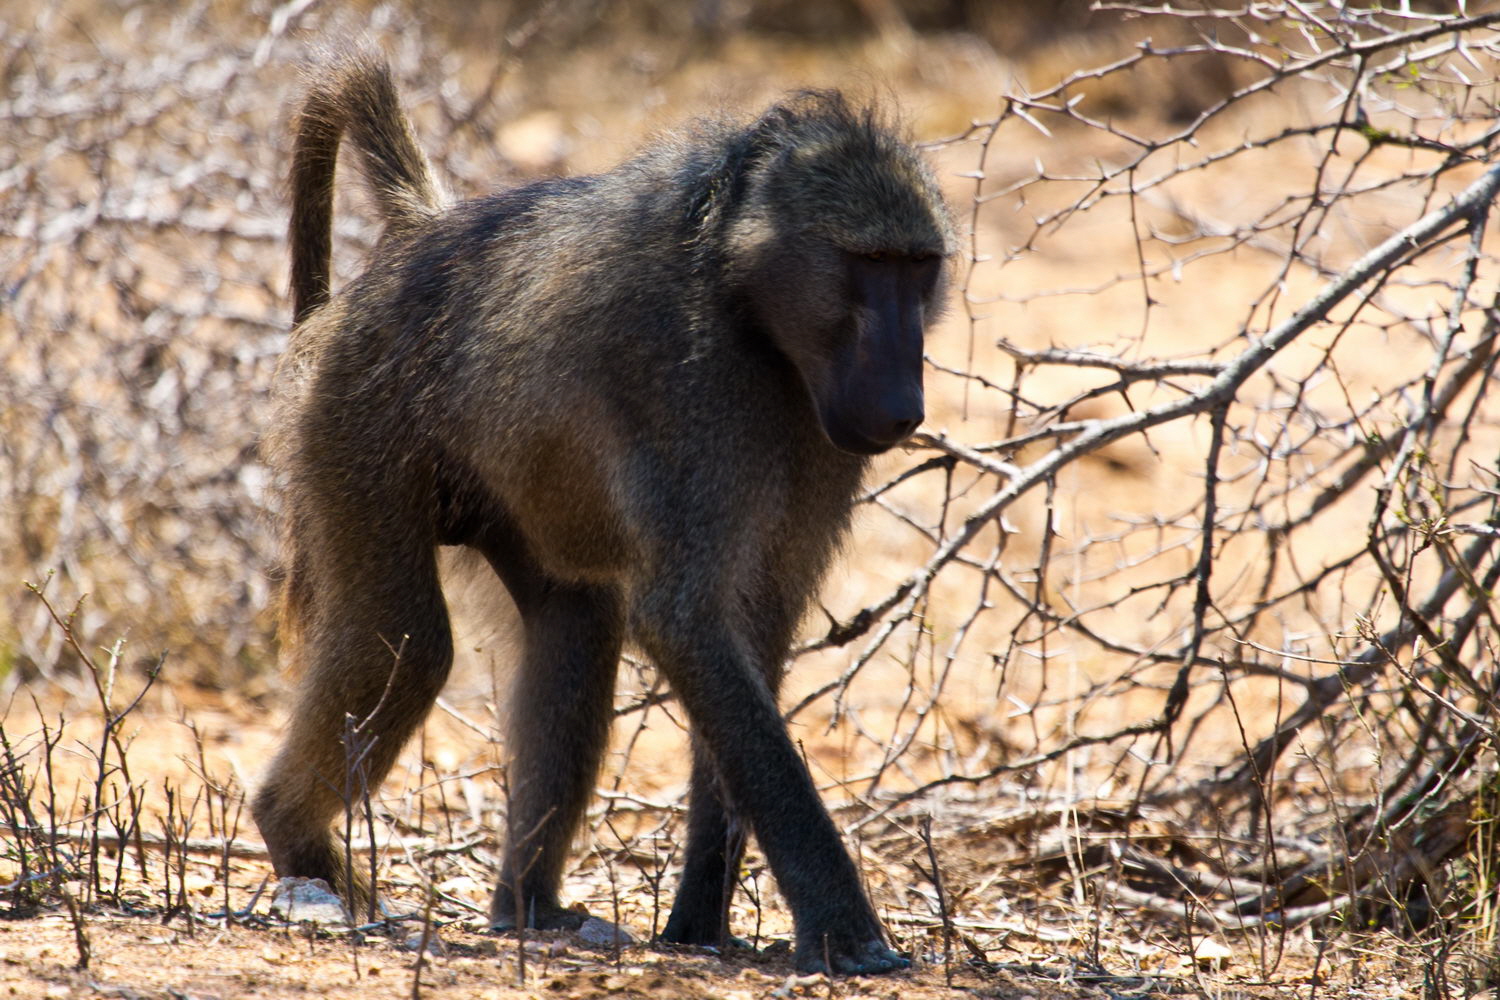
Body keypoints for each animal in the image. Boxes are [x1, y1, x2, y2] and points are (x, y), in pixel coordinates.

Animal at [250, 51, 954, 976]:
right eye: (868, 261)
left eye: (919, 267)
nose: (902, 404)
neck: (745, 300)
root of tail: (424, 240)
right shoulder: (696, 390)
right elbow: (684, 620)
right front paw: (849, 935)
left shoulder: (817, 442)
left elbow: (751, 639)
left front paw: (699, 924)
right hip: (356, 422)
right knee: (405, 641)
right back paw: (304, 853)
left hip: (505, 492)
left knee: (577, 629)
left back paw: (528, 908)